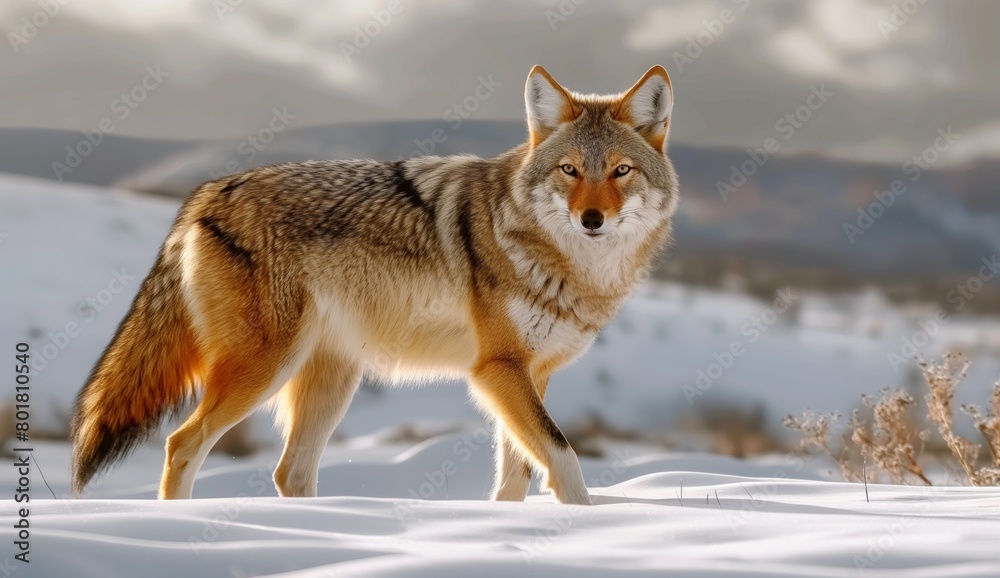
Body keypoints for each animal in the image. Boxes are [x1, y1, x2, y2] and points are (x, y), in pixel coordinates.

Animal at [70, 65, 678, 505]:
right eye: (570, 170)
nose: (591, 220)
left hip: (332, 379)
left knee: (289, 472)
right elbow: (565, 459)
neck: (572, 267)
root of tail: (207, 192)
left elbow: (518, 477)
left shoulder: (531, 377)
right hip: (264, 369)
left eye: (621, 171)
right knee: (182, 444)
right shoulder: (498, 371)